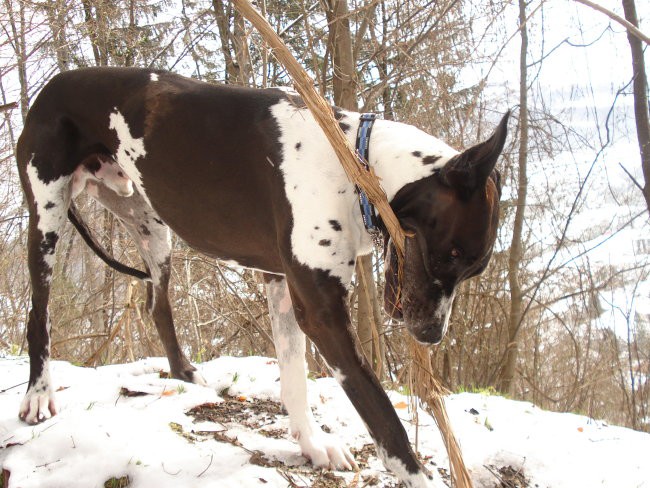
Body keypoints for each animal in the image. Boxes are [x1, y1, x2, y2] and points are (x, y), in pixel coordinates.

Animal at [15, 67, 506, 488]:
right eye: (451, 255)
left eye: (471, 268)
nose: (431, 335)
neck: (356, 161)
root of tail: (54, 82)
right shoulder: (323, 315)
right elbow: (385, 422)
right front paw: (415, 474)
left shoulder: (282, 285)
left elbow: (294, 375)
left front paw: (312, 444)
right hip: (48, 217)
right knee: (38, 314)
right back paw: (38, 394)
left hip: (152, 227)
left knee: (158, 303)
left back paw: (182, 374)